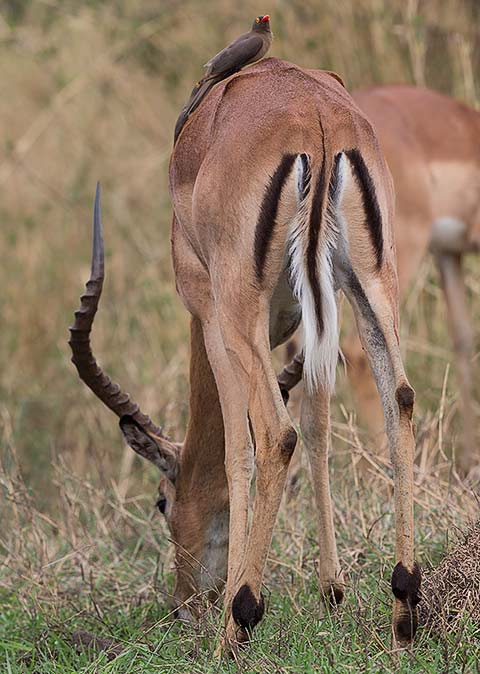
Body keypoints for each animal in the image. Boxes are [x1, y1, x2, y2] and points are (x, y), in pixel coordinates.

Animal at [70, 57, 420, 650]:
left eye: (162, 500)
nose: (185, 606)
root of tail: (319, 120)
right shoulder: (313, 318)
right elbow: (319, 425)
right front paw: (332, 593)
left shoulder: (211, 314)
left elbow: (239, 450)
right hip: (371, 284)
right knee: (400, 399)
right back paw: (404, 607)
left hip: (241, 309)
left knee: (276, 435)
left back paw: (239, 622)